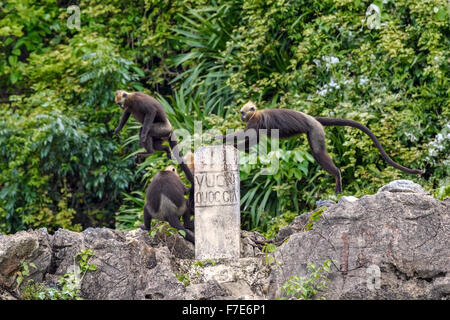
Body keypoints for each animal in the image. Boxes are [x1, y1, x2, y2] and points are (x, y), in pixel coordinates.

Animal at [213, 101, 424, 194]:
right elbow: (252, 141)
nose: (241, 116)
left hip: (315, 131)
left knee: (318, 152)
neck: (256, 114)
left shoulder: (255, 122)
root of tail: (312, 118)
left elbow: (249, 137)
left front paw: (221, 139)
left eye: (243, 113)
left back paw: (337, 175)